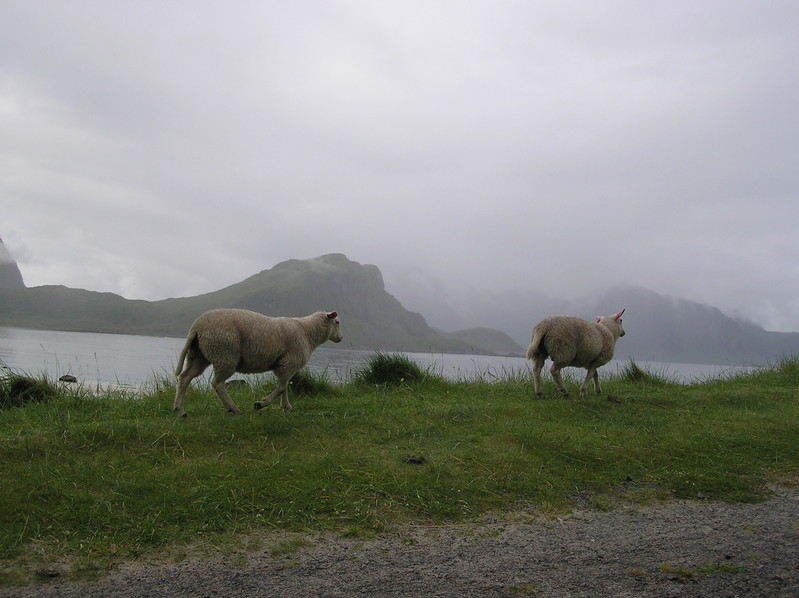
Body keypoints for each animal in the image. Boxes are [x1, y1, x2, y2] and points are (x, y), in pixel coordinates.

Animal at [173, 310, 342, 418]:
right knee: (217, 383)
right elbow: (282, 387)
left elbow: (284, 387)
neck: (307, 332)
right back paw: (233, 408)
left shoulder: (285, 365)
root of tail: (196, 327)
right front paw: (261, 404)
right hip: (224, 355)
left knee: (185, 378)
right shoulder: (289, 362)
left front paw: (286, 406)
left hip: (200, 355)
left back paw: (180, 410)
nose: (341, 338)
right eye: (337, 322)